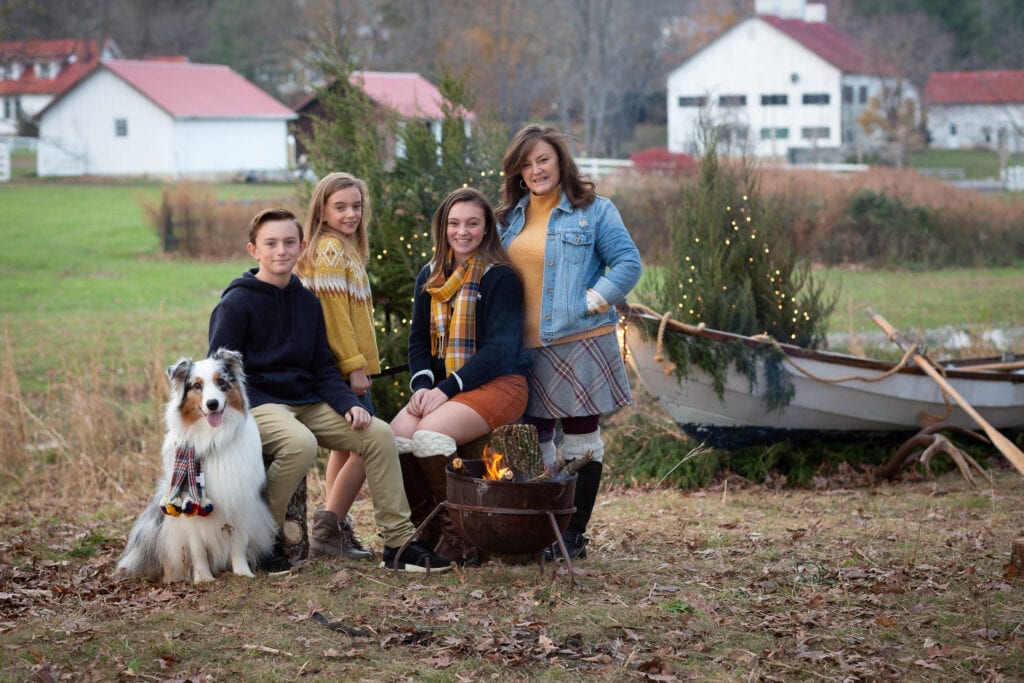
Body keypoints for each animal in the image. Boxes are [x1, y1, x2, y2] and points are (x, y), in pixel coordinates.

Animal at [117, 352, 276, 581]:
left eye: (221, 382)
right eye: (197, 386)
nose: (212, 404)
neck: (212, 438)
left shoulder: (240, 499)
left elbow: (238, 542)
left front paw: (242, 572)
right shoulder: (187, 507)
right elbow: (197, 548)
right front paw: (203, 578)